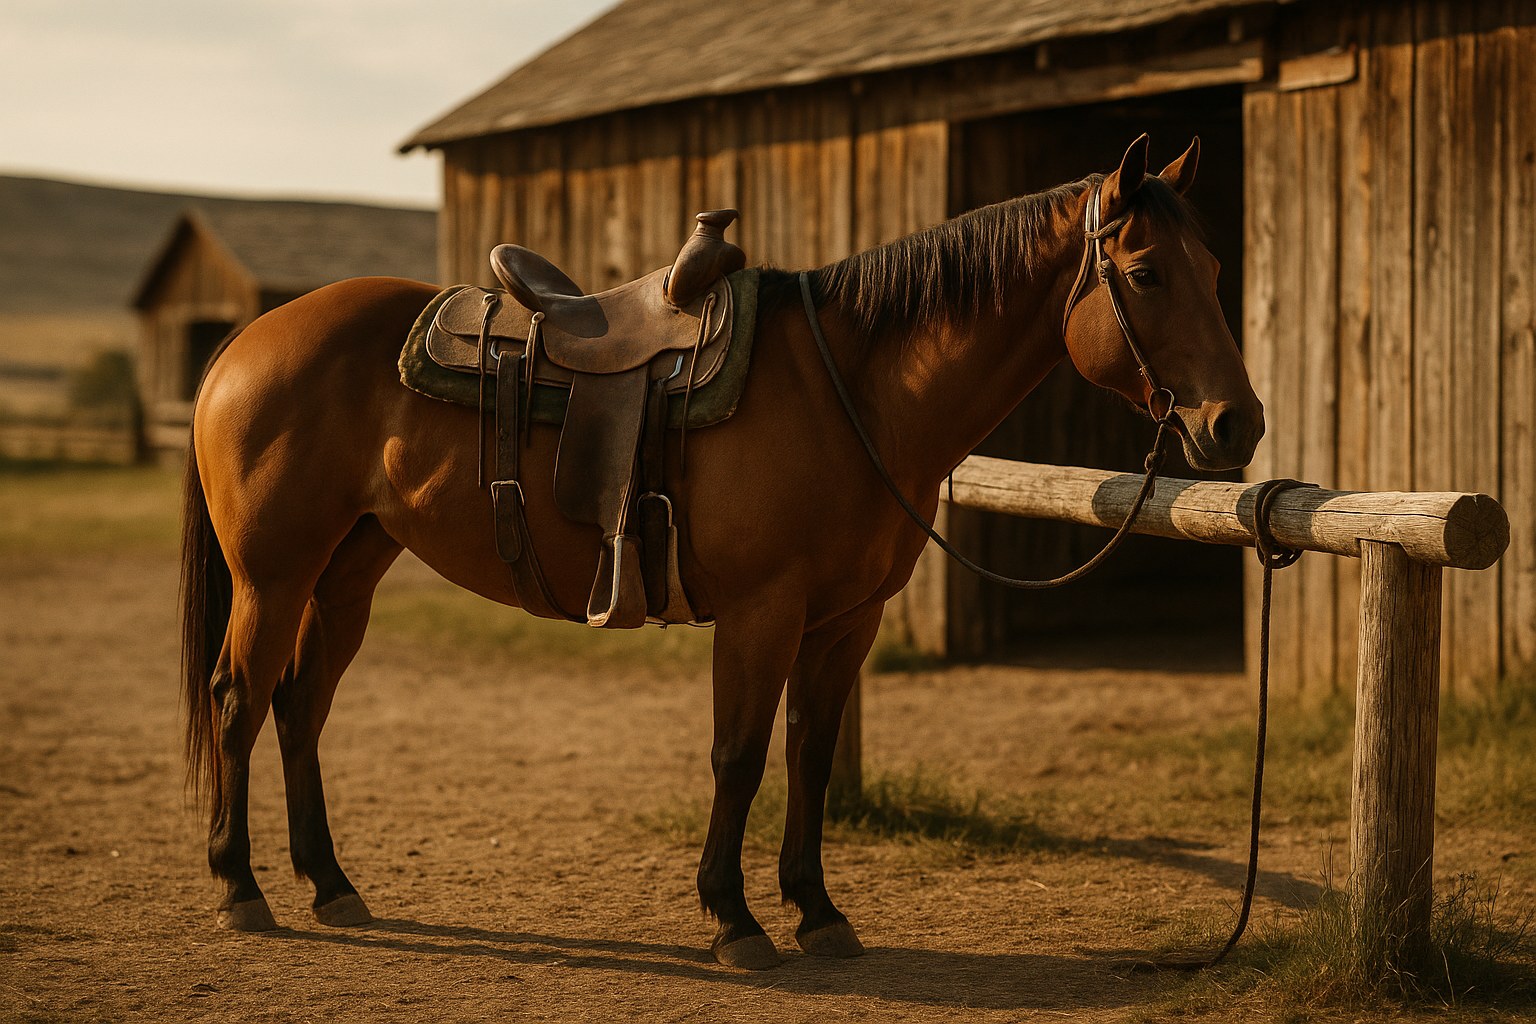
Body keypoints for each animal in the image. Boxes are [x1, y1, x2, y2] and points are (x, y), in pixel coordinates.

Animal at [179, 134, 1263, 970]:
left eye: (1214, 272)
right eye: (1146, 274)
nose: (1237, 425)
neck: (851, 387)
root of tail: (247, 340)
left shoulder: (844, 621)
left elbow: (810, 754)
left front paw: (818, 912)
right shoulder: (760, 612)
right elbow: (738, 756)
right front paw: (735, 921)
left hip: (348, 571)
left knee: (300, 706)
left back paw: (331, 884)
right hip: (273, 575)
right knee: (239, 698)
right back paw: (240, 889)